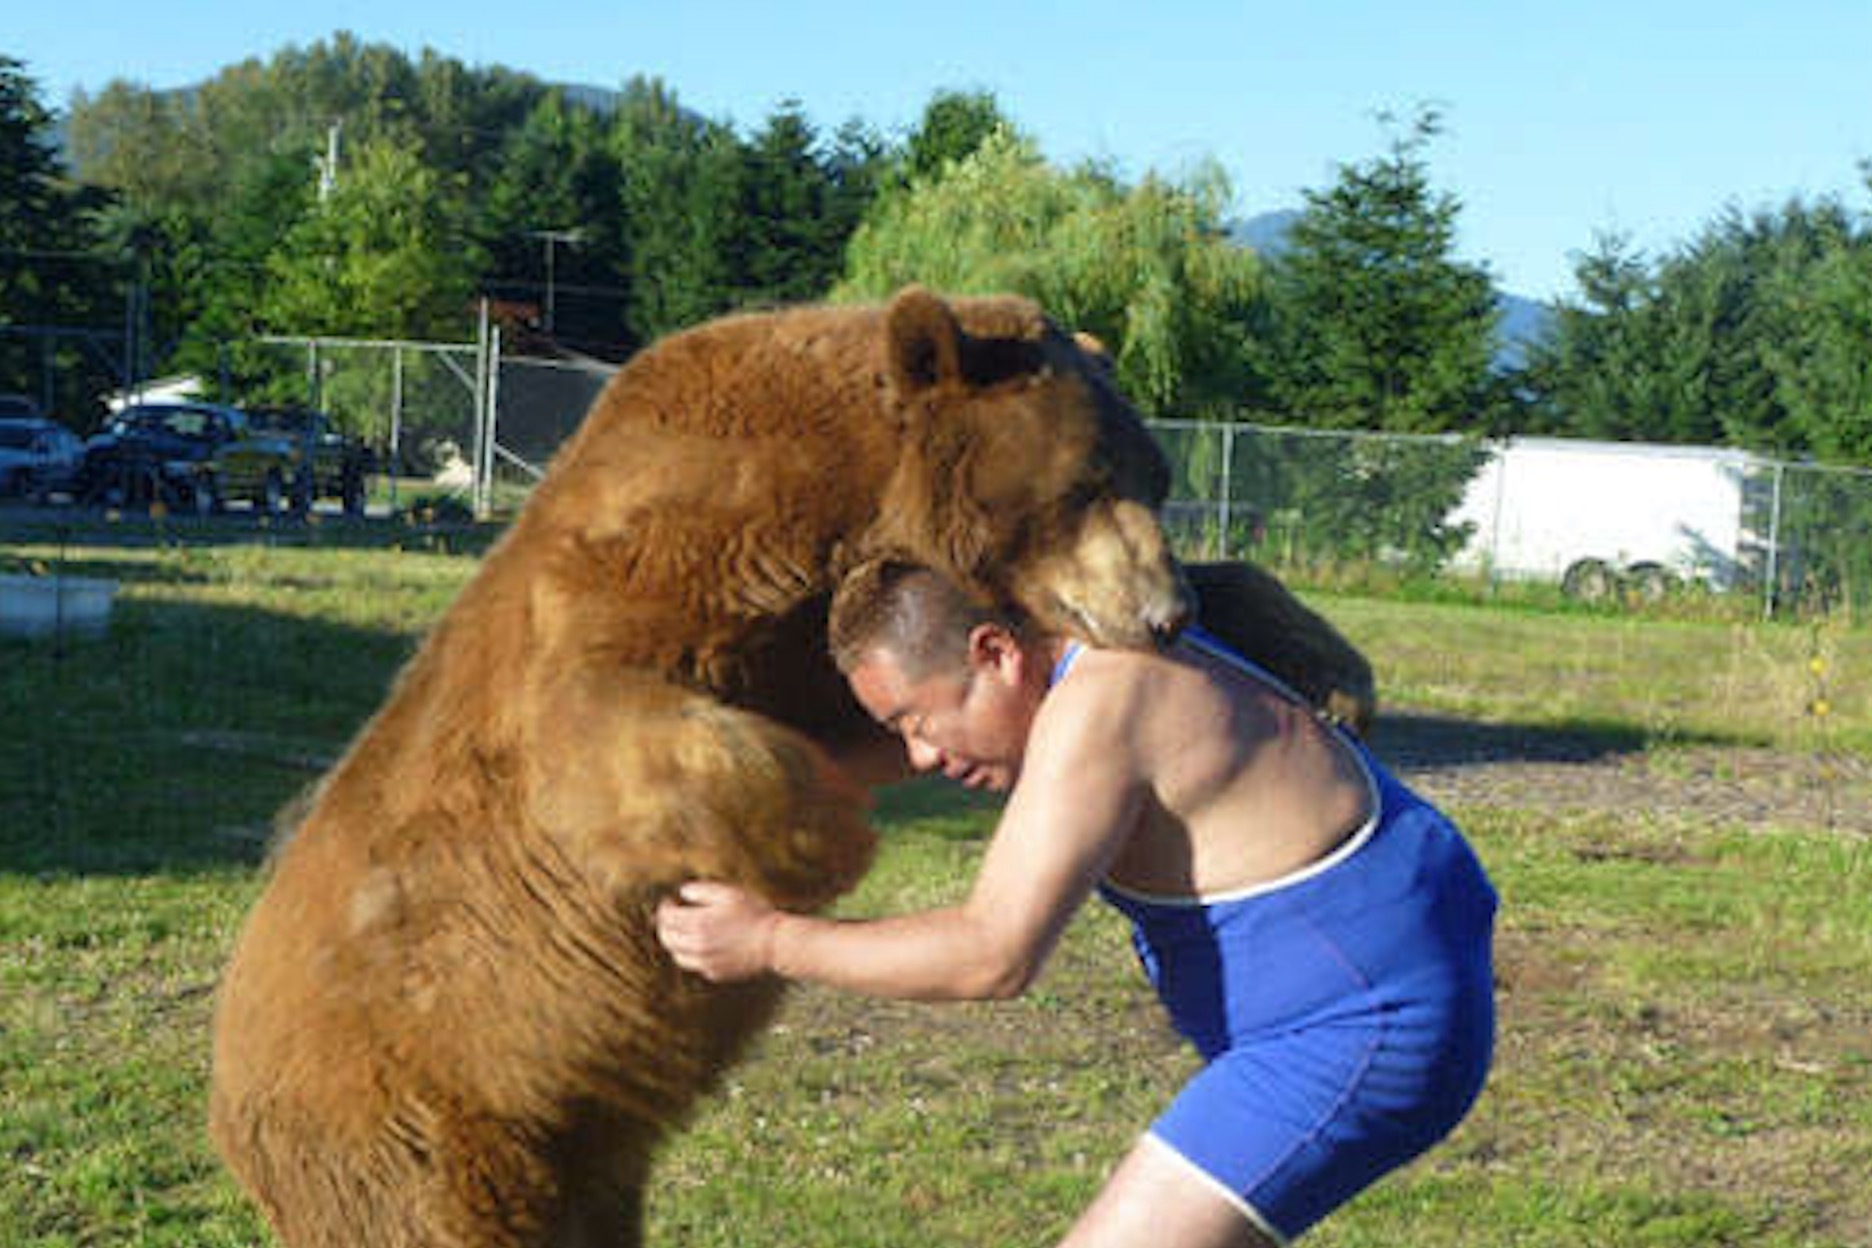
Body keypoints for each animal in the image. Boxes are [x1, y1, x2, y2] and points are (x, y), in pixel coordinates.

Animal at [204, 288, 1190, 1242]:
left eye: (1161, 475)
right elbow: (603, 730)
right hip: (416, 1128)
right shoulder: (615, 586)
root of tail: (227, 1100)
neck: (795, 498)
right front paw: (825, 836)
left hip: (578, 1160)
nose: (1169, 611)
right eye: (1087, 481)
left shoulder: (796, 638)